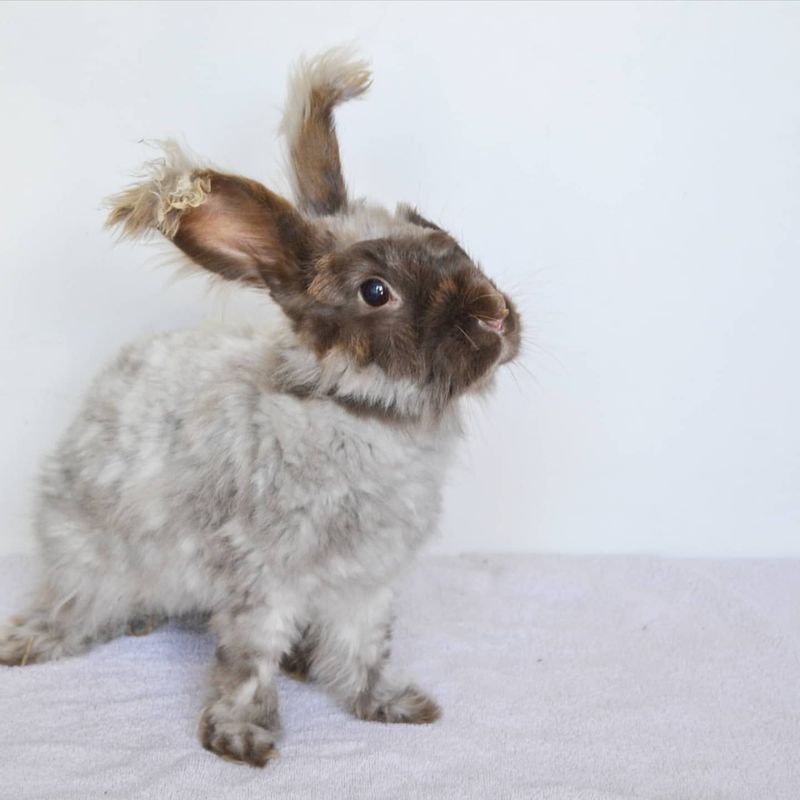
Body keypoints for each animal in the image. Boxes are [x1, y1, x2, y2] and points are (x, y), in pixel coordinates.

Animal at [0, 47, 520, 764]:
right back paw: (38, 639)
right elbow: (248, 662)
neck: (359, 412)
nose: (497, 316)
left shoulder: (366, 585)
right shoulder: (261, 578)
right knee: (77, 603)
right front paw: (243, 740)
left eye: (436, 231)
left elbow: (364, 652)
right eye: (375, 290)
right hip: (87, 553)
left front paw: (393, 707)